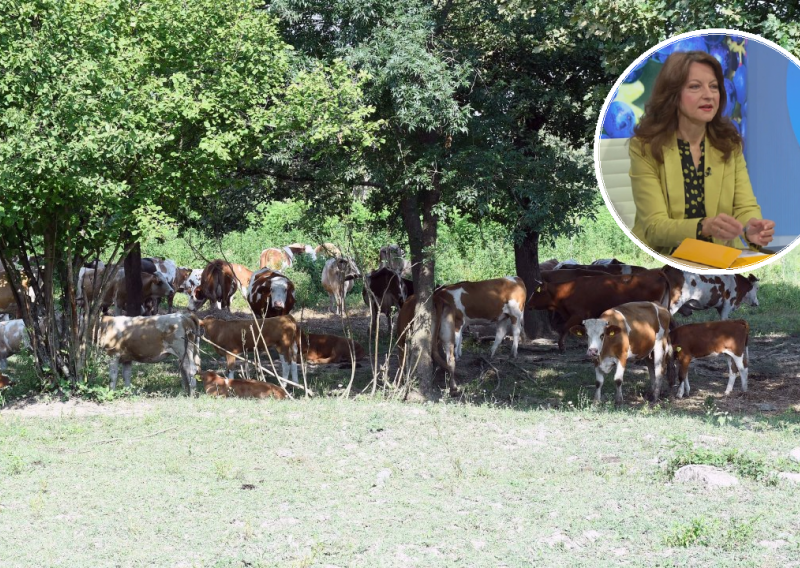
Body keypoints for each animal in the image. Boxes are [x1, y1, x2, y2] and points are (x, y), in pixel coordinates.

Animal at [528, 270, 672, 352]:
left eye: (536, 292)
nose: (528, 304)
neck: (569, 290)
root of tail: (655, 272)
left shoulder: (578, 315)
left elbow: (564, 328)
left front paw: (561, 347)